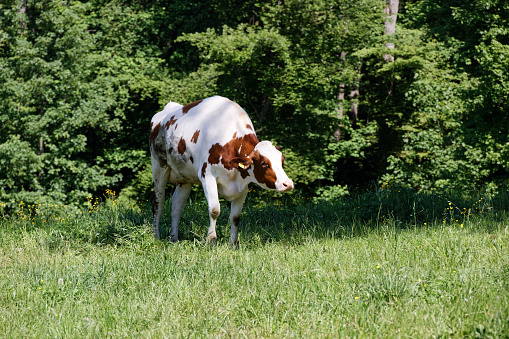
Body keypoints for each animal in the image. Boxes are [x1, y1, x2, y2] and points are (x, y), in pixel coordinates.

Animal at [149, 95, 294, 247]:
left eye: (282, 161)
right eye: (264, 163)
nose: (288, 184)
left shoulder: (244, 185)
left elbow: (235, 217)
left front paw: (233, 244)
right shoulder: (207, 176)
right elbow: (214, 210)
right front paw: (211, 240)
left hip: (185, 177)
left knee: (177, 206)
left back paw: (174, 238)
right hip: (159, 167)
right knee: (158, 203)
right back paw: (156, 237)